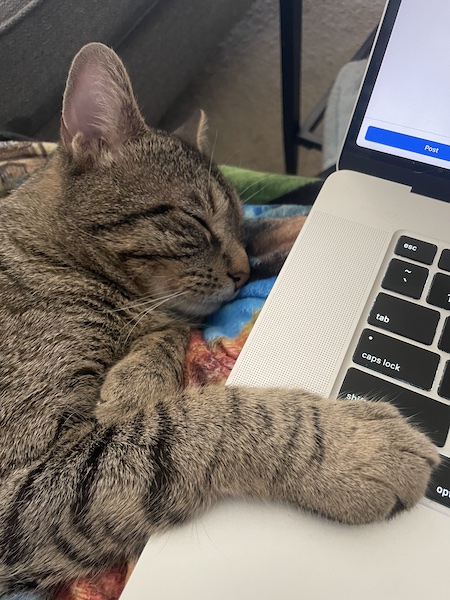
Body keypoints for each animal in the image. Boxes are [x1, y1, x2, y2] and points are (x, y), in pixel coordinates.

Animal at [0, 43, 438, 596]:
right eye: (197, 222)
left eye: (241, 231)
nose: (243, 270)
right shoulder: (21, 479)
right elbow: (191, 424)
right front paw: (348, 445)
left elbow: (171, 332)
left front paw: (135, 383)